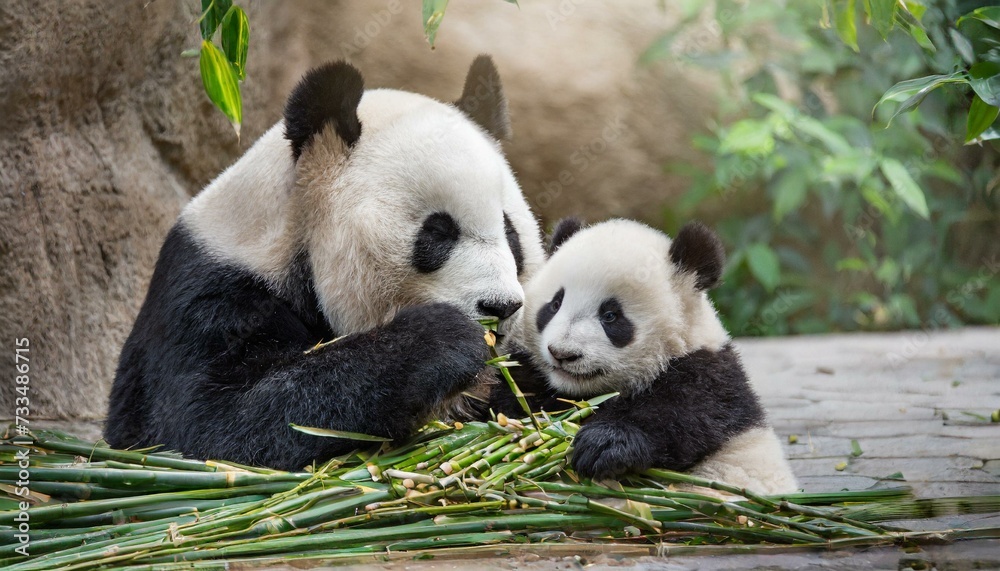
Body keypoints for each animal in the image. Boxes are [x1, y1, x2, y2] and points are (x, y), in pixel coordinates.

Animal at [105, 56, 546, 471]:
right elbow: (206, 426)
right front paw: (444, 338)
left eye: (510, 233)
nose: (502, 307)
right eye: (438, 232)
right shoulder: (210, 297)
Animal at [490, 218, 797, 495]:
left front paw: (603, 444)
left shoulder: (708, 376)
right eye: (554, 305)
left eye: (611, 316)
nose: (562, 354)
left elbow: (680, 418)